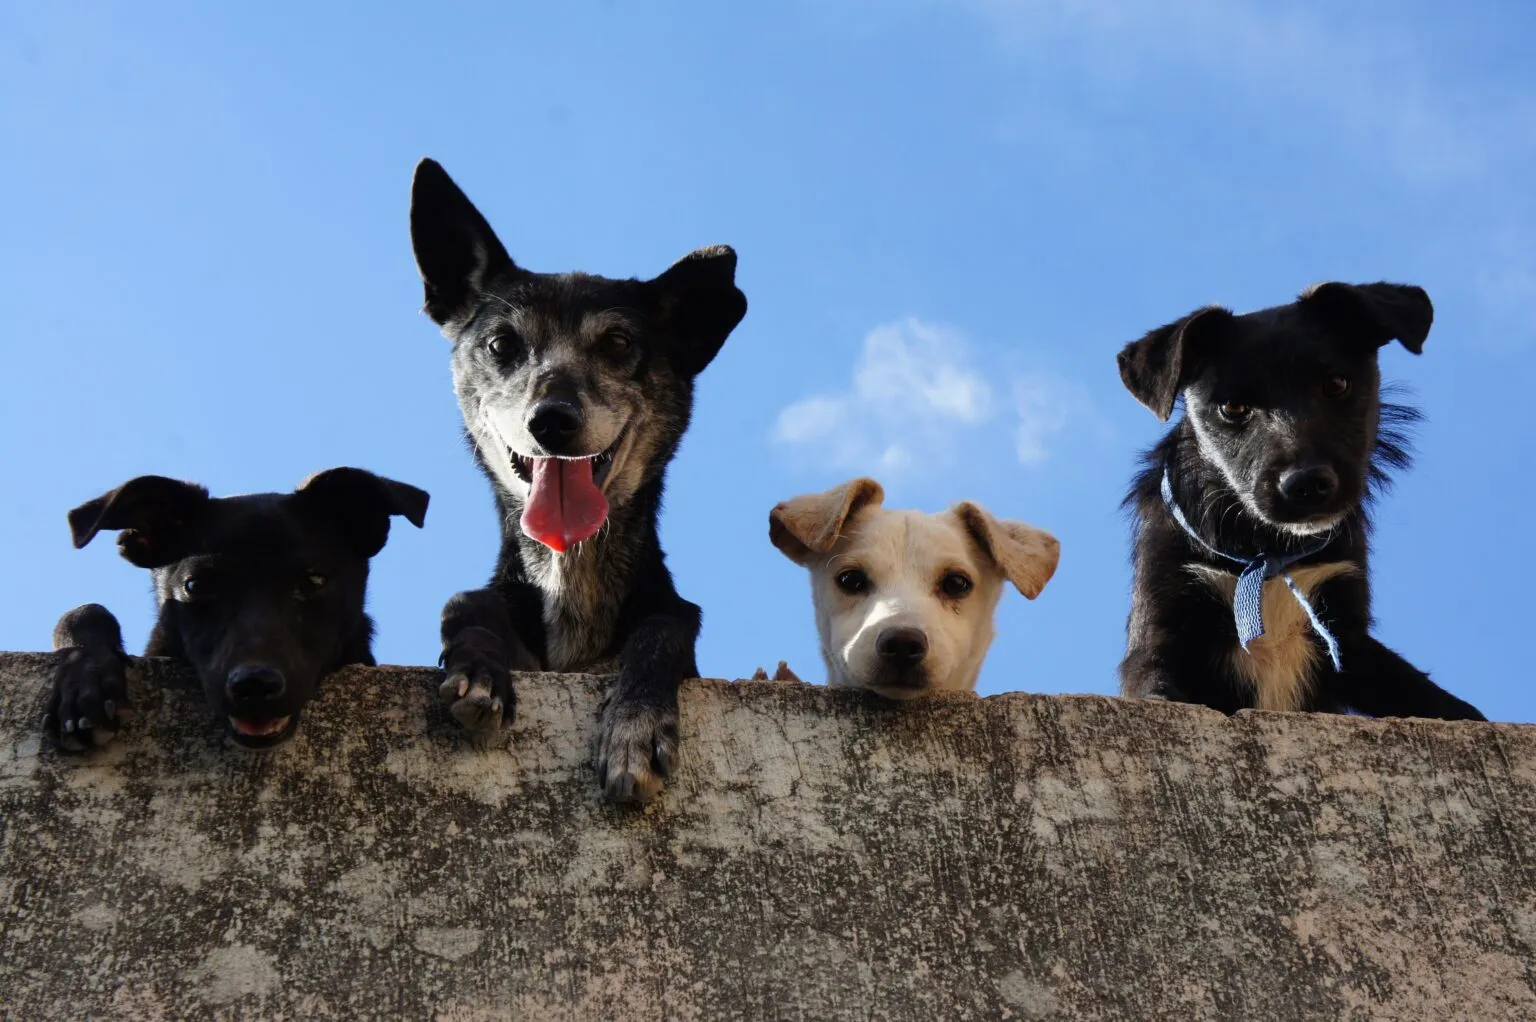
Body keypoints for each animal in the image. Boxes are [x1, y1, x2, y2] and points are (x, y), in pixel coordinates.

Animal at [405, 155, 746, 799]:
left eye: (617, 342)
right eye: (501, 344)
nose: (551, 421)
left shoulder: (671, 622)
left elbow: (665, 627)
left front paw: (636, 726)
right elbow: (463, 603)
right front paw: (479, 669)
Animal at [1118, 282, 1486, 722]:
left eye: (1337, 384)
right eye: (1233, 408)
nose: (1307, 484)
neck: (1267, 553)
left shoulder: (1347, 634)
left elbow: (1426, 695)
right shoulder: (1161, 624)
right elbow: (1155, 684)